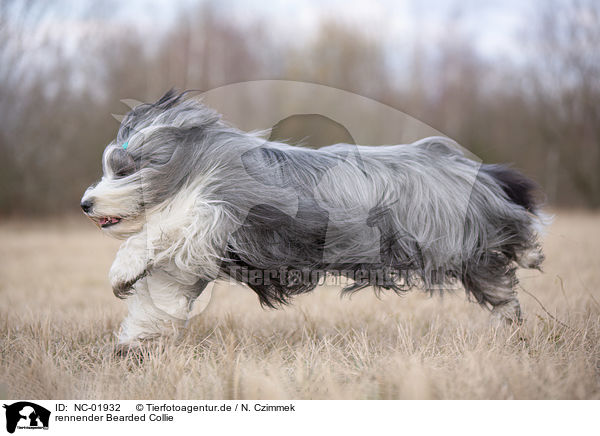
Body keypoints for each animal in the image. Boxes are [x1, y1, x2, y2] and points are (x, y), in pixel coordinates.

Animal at [82, 90, 548, 350]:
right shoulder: (190, 259)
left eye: (123, 169)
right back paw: (509, 324)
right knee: (499, 286)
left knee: (507, 242)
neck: (196, 163)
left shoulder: (226, 207)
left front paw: (121, 269)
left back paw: (526, 255)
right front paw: (133, 341)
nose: (86, 203)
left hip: (453, 235)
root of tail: (470, 168)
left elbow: (169, 225)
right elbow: (160, 295)